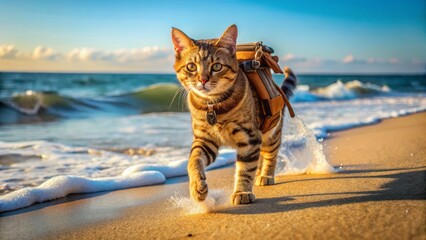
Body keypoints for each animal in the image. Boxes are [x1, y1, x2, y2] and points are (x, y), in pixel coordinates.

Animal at [171, 24, 296, 204]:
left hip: (272, 134)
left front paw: (242, 192)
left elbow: (245, 168)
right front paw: (196, 186)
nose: (203, 80)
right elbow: (193, 160)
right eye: (191, 67)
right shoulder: (205, 139)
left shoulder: (250, 137)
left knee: (270, 155)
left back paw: (265, 175)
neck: (213, 106)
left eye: (216, 66)